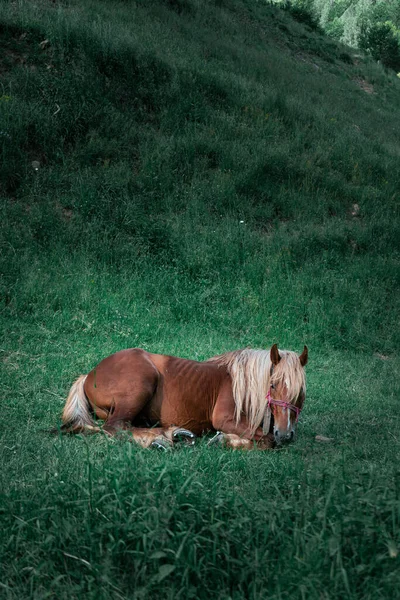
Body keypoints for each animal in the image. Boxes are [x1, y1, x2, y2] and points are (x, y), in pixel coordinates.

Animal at [59, 342, 308, 450]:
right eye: (273, 385)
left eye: (301, 393)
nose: (286, 433)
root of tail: (89, 375)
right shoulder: (225, 419)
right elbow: (267, 439)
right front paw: (226, 440)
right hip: (141, 382)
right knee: (115, 427)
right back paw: (161, 439)